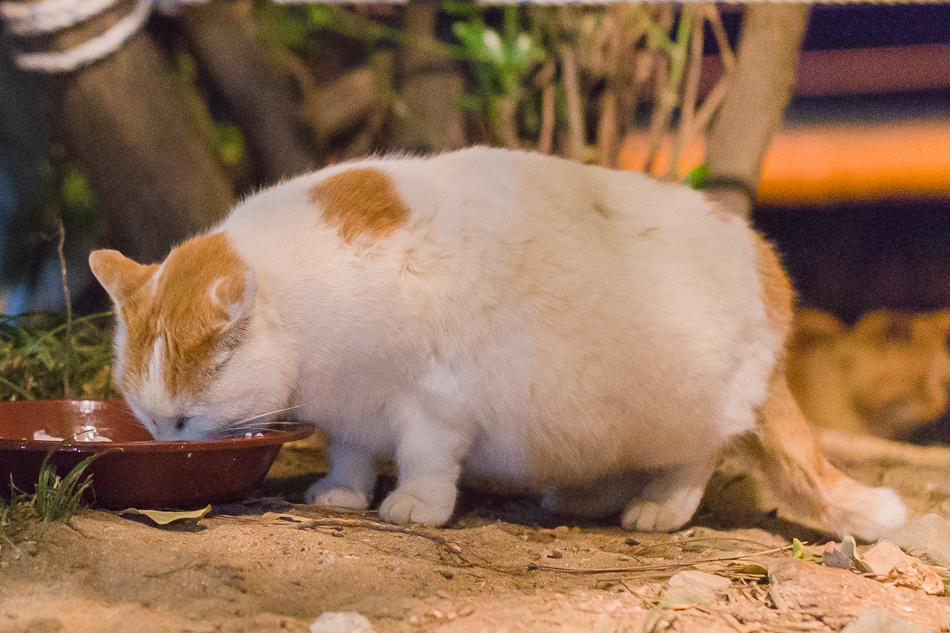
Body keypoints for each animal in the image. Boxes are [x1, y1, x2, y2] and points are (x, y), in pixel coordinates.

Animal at [89, 148, 908, 540]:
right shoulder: (352, 410)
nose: (165, 445)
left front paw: (413, 506)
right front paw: (345, 494)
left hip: (692, 412)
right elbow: (351, 453)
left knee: (697, 460)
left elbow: (423, 460)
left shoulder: (432, 403)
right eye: (149, 418)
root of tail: (767, 265)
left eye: (183, 422)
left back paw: (658, 508)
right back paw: (581, 495)